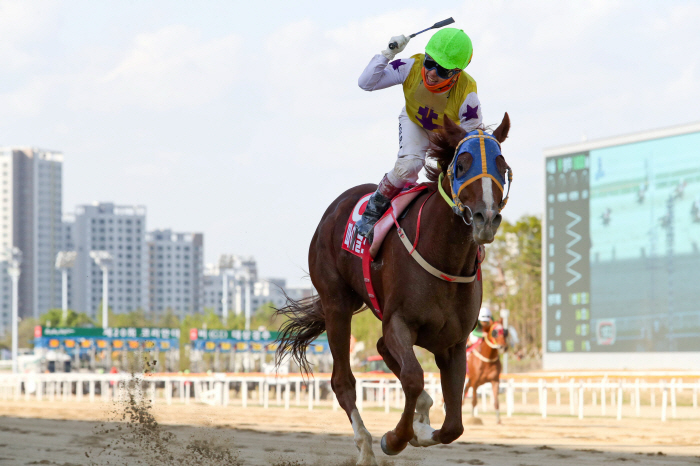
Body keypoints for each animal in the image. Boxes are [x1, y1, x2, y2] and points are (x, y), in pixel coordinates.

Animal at [276, 114, 512, 466]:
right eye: (461, 165)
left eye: (502, 165)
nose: (486, 218)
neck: (445, 257)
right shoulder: (399, 322)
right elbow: (413, 377)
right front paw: (396, 437)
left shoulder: (453, 343)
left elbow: (453, 426)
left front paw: (421, 429)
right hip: (336, 303)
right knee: (343, 381)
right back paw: (366, 448)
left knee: (382, 349)